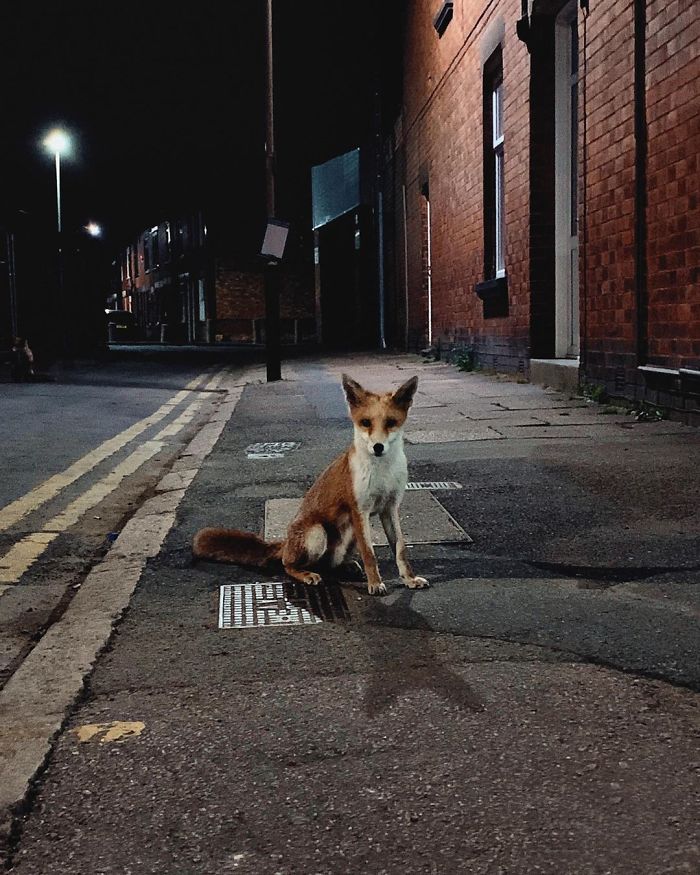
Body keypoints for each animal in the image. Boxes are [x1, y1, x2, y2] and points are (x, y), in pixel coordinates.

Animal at [192, 373, 428, 595]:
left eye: (390, 422)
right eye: (366, 422)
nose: (378, 447)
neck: (383, 471)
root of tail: (285, 543)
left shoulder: (390, 508)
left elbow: (401, 550)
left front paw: (409, 579)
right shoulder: (359, 510)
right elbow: (370, 554)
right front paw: (376, 583)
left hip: (348, 533)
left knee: (329, 564)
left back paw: (345, 567)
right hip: (317, 534)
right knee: (288, 565)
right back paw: (306, 574)